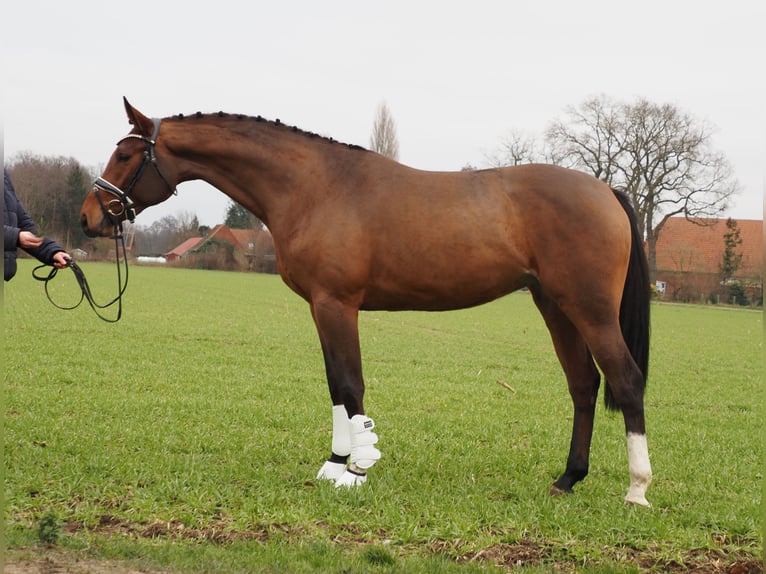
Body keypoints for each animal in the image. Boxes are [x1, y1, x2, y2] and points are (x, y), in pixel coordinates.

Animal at [78, 99, 656, 508]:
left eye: (126, 154)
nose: (89, 217)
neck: (315, 186)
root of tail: (605, 190)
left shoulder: (337, 304)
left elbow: (351, 382)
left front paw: (356, 468)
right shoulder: (320, 306)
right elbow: (335, 384)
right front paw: (336, 463)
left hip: (590, 311)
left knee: (625, 380)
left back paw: (636, 490)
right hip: (555, 307)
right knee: (583, 386)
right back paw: (568, 478)